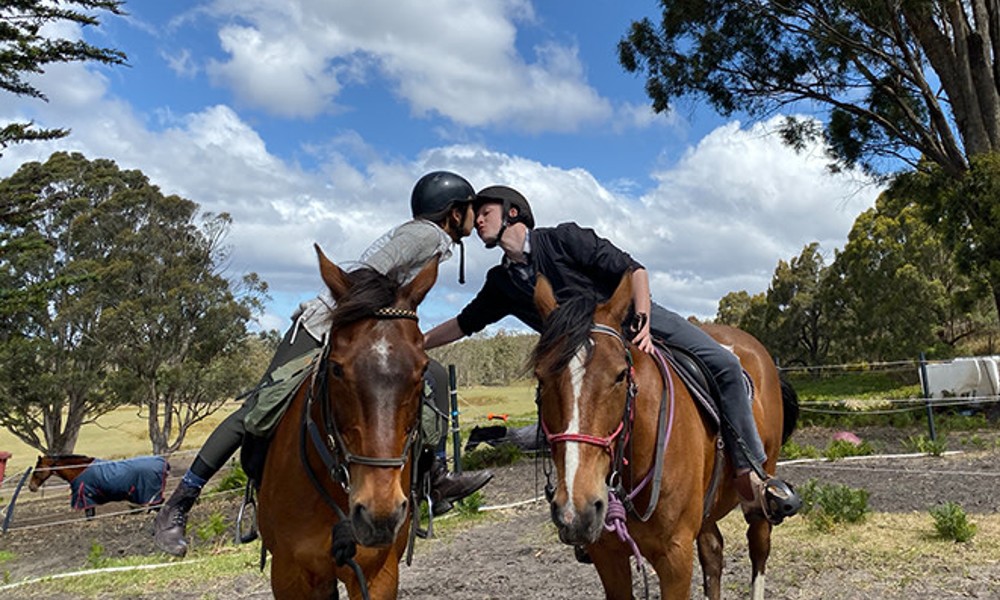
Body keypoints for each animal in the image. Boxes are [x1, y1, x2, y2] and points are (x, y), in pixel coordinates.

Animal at [532, 274, 796, 600]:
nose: (576, 511)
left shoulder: (675, 557)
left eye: (620, 375)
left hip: (761, 489)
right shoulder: (607, 556)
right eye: (541, 378)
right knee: (713, 552)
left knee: (758, 545)